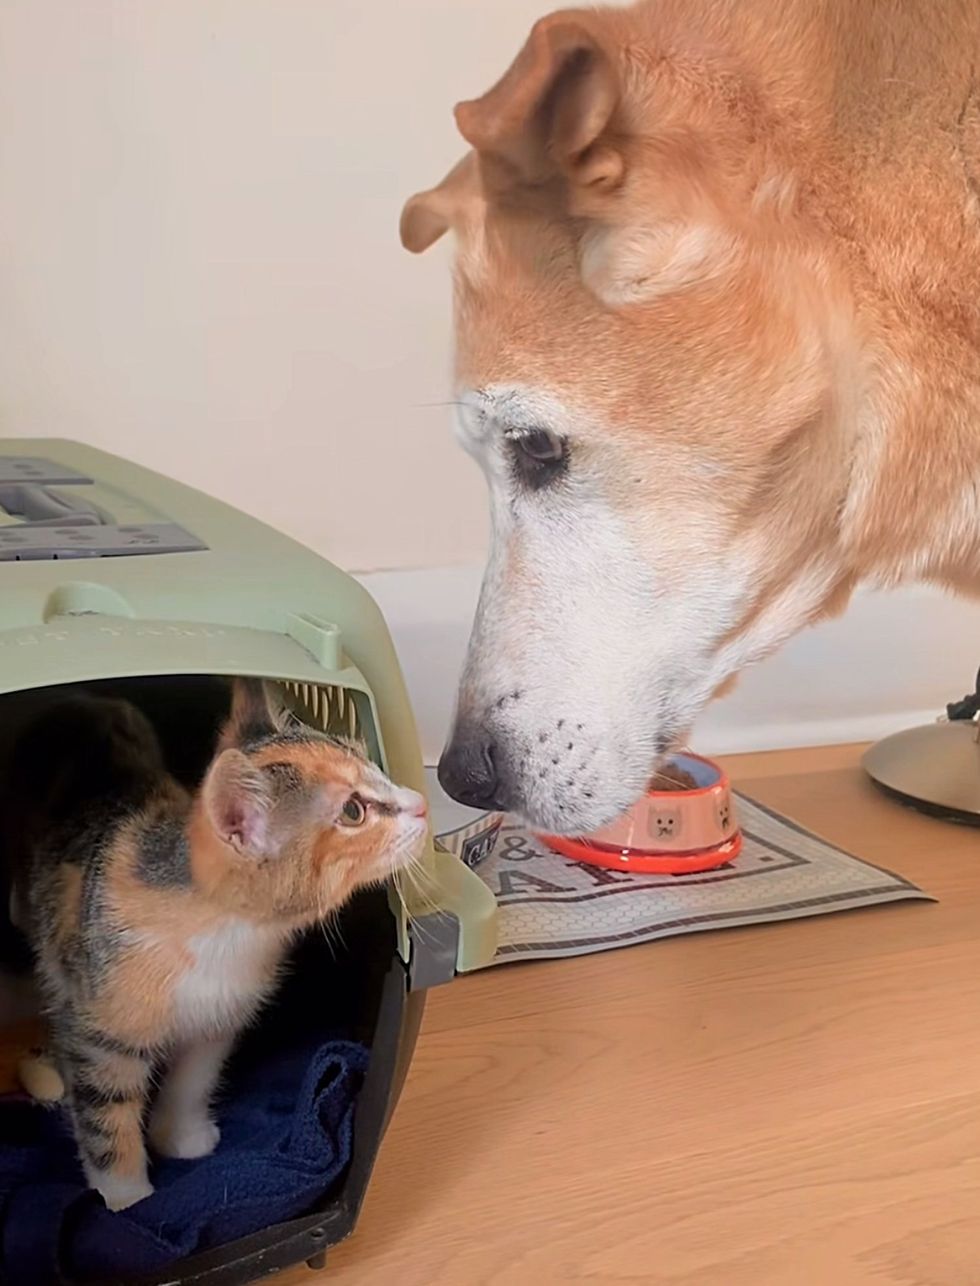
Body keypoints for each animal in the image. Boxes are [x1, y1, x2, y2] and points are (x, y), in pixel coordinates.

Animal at [3, 679, 426, 1208]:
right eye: (353, 811)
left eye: (371, 765)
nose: (421, 803)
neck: (223, 931)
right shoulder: (102, 1030)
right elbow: (107, 1112)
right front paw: (123, 1197)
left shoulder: (219, 1015)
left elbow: (194, 1078)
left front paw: (180, 1136)